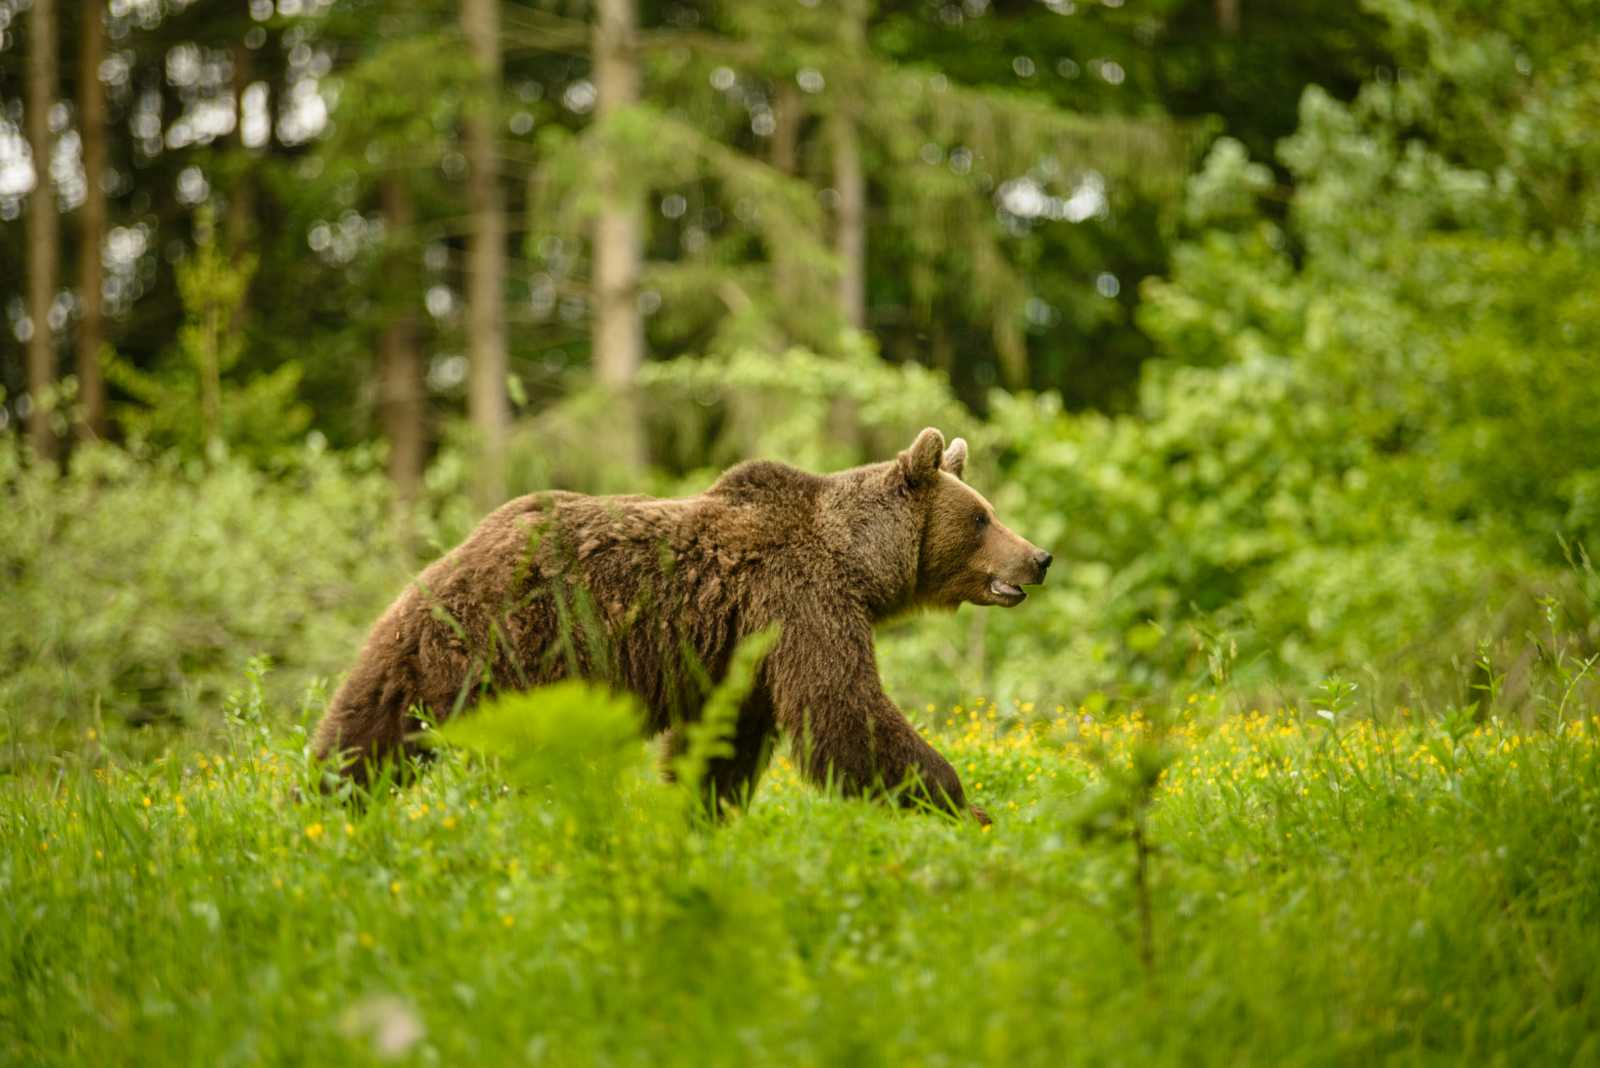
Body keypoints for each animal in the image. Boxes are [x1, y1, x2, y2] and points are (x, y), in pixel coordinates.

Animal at [316, 428, 1056, 824]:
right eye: (982, 518)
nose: (1039, 557)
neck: (859, 562)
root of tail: (444, 566)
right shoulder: (800, 599)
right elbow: (845, 710)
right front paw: (962, 804)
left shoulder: (743, 651)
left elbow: (722, 742)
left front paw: (699, 815)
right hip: (513, 647)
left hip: (416, 659)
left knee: (362, 733)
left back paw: (320, 807)